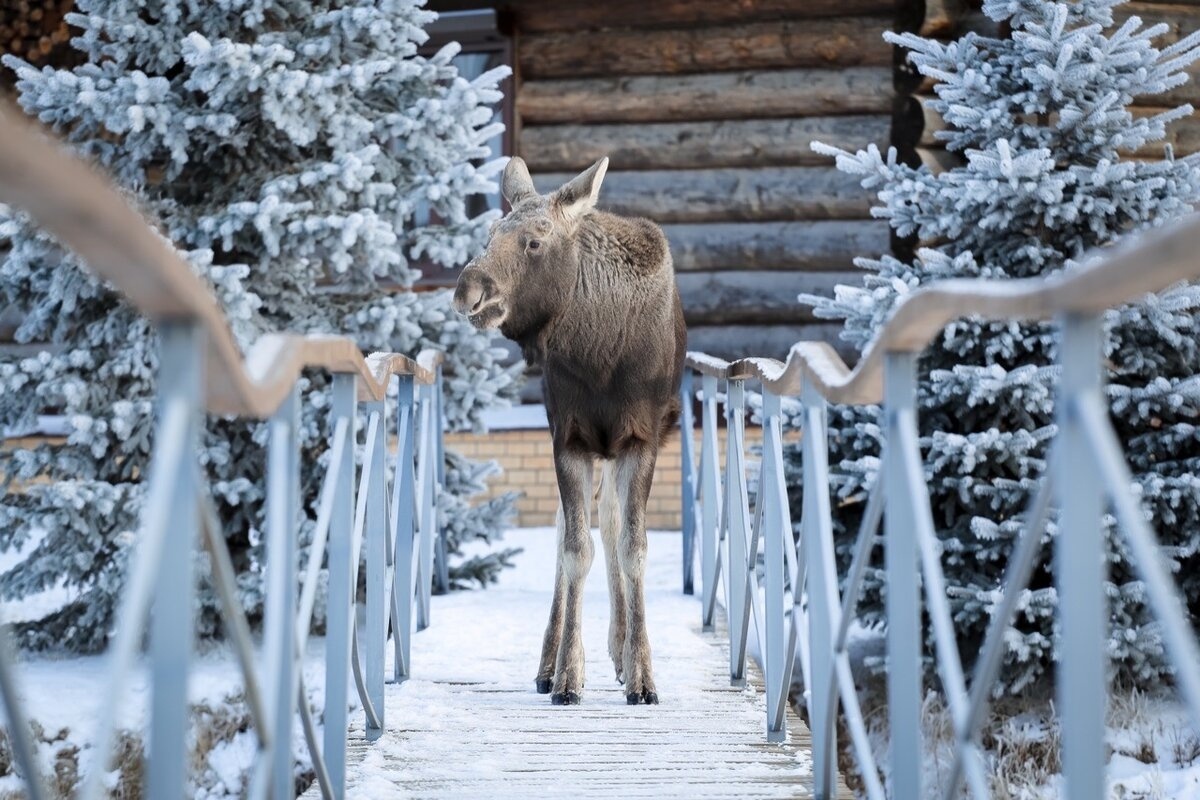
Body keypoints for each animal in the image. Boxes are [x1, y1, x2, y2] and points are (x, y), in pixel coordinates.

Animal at [451, 153, 686, 705]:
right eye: (489, 233)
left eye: (534, 242)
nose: (467, 290)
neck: (600, 355)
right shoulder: (568, 438)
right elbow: (575, 549)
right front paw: (566, 675)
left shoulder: (640, 439)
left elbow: (633, 548)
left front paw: (643, 676)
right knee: (571, 531)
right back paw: (548, 661)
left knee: (613, 524)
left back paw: (620, 650)